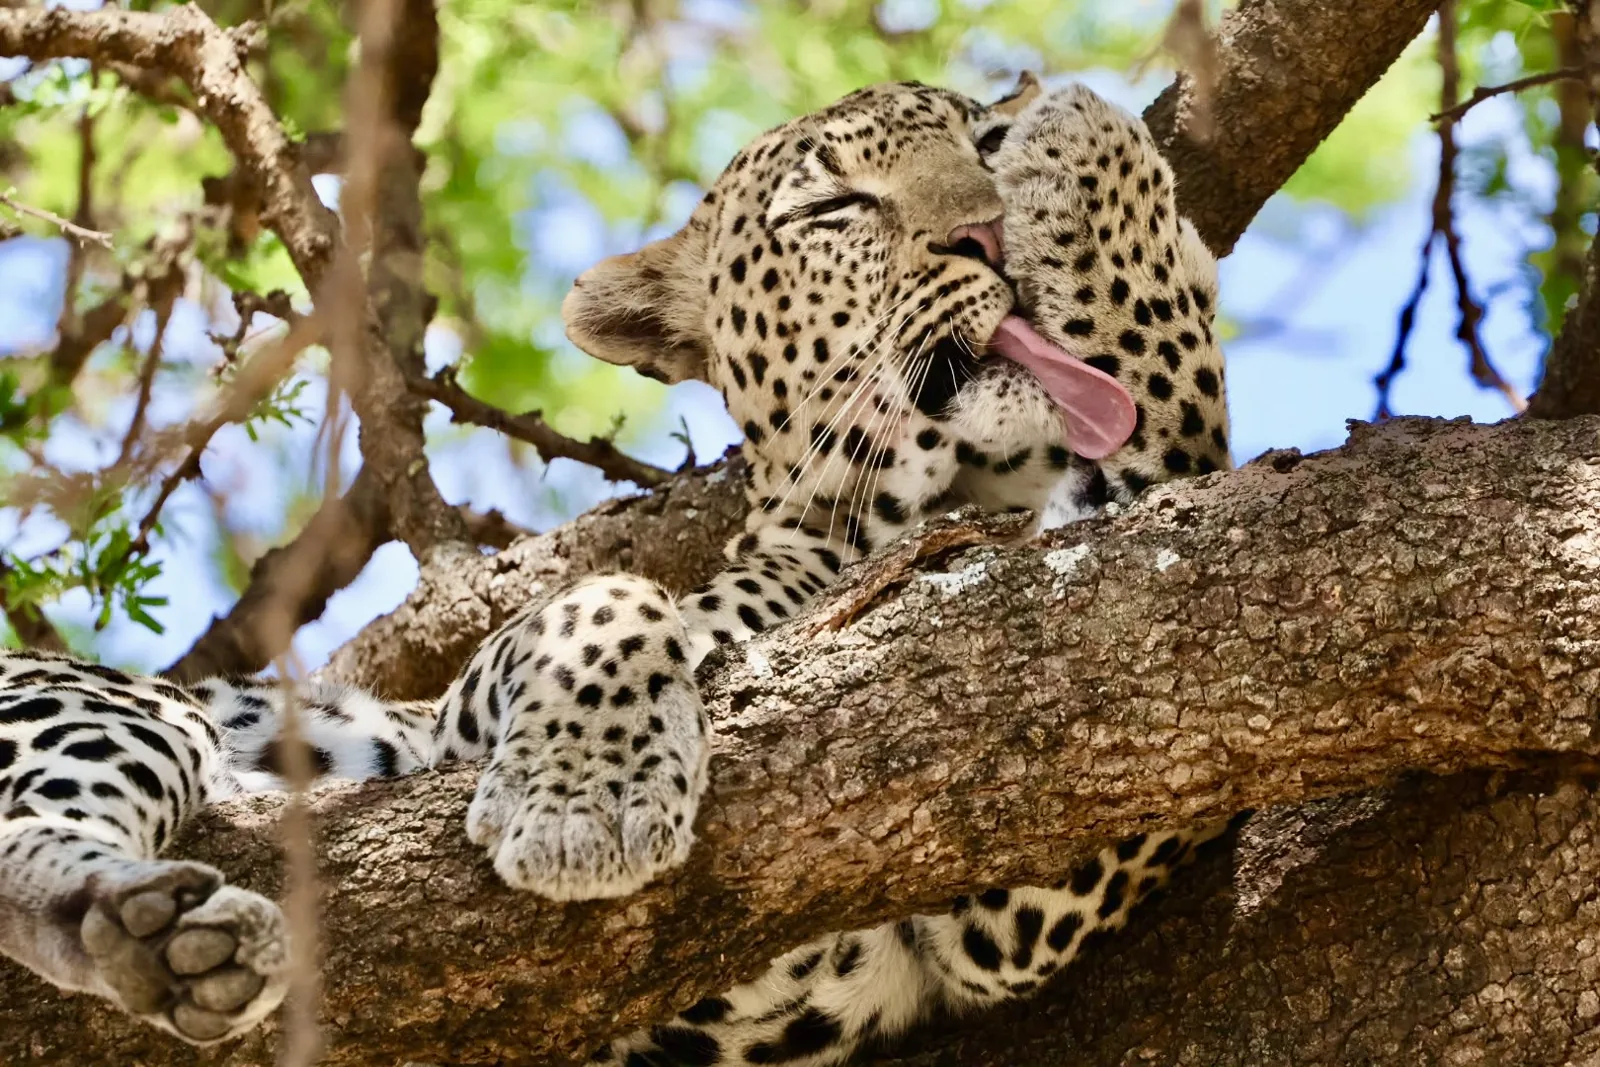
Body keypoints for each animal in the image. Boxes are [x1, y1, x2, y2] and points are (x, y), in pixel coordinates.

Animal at [0, 75, 1232, 1062]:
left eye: (979, 146)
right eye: (833, 208)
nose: (986, 230)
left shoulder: (1016, 879)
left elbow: (1175, 455)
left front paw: (1090, 158)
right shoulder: (457, 717)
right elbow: (605, 596)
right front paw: (585, 798)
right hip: (104, 703)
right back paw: (147, 922)